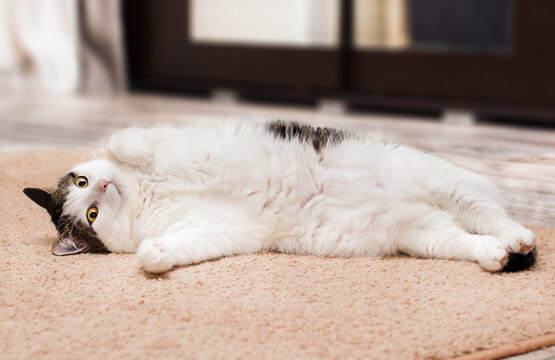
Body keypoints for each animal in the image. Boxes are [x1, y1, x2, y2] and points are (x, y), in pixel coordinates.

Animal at [23, 119, 536, 274]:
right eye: (91, 213)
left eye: (84, 186)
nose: (104, 186)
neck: (144, 193)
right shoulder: (226, 230)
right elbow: (161, 250)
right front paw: (155, 257)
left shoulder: (167, 140)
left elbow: (124, 138)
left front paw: (129, 154)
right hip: (423, 235)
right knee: (470, 240)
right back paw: (496, 254)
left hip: (442, 182)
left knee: (492, 212)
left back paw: (520, 237)